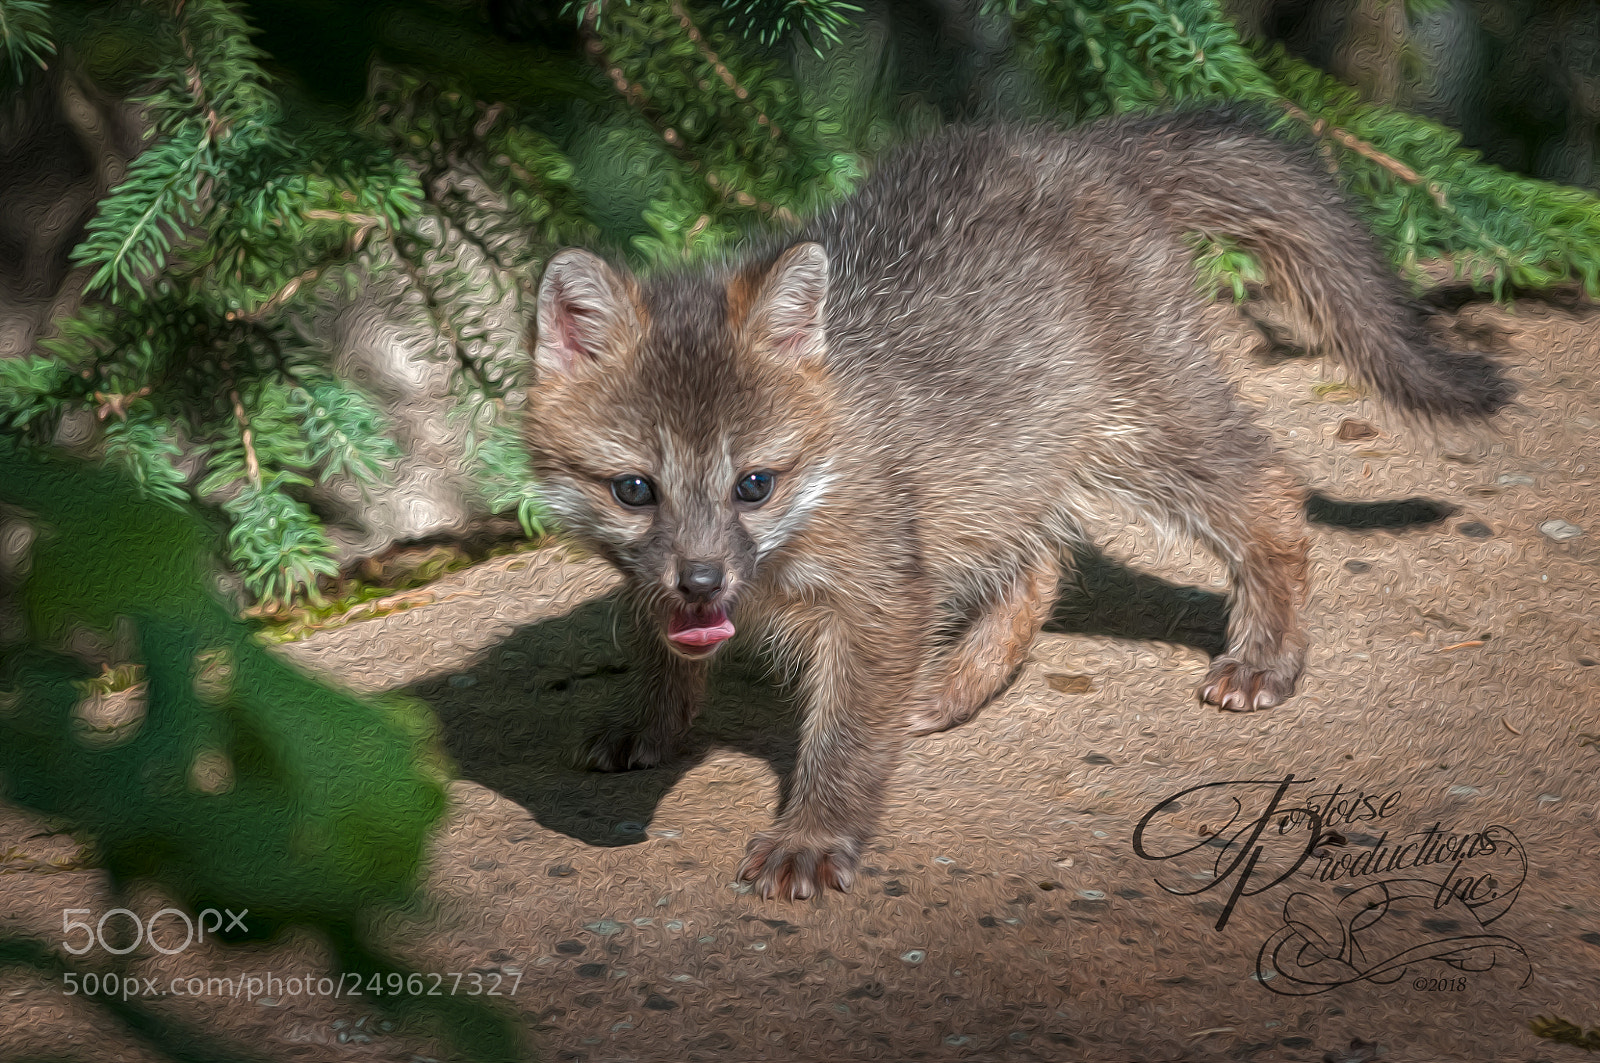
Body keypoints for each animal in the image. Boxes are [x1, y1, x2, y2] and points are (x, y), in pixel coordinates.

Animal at [522, 107, 1512, 901]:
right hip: (1017, 462)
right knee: (1040, 568)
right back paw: (954, 687)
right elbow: (664, 655)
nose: (701, 577)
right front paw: (652, 726)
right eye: (634, 488)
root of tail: (1073, 139)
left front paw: (813, 837)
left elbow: (844, 740)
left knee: (1268, 492)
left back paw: (1266, 657)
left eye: (754, 483)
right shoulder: (732, 586)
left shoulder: (885, 594)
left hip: (1138, 437)